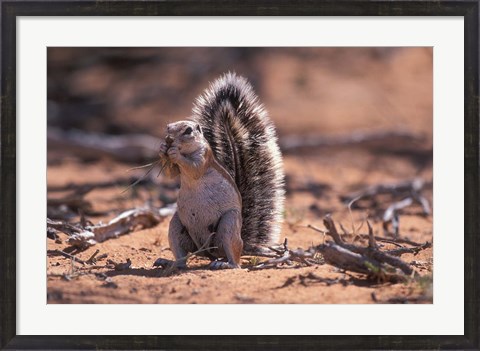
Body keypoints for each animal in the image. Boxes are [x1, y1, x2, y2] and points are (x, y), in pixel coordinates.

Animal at [156, 73, 284, 270]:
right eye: (168, 128)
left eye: (188, 130)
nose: (169, 139)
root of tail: (210, 252)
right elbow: (171, 174)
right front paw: (163, 149)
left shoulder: (203, 158)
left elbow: (194, 168)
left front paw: (174, 152)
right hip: (177, 225)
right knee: (182, 259)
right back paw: (170, 262)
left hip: (228, 224)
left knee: (235, 261)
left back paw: (225, 264)